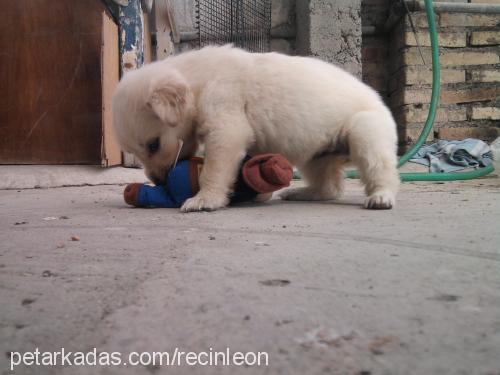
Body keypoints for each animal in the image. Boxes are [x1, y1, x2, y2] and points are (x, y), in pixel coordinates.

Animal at [113, 44, 398, 212]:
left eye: (154, 145)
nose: (159, 181)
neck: (198, 81)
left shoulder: (226, 125)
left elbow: (214, 169)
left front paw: (205, 199)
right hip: (316, 156)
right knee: (330, 188)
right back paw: (301, 192)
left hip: (365, 131)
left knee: (380, 170)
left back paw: (381, 197)